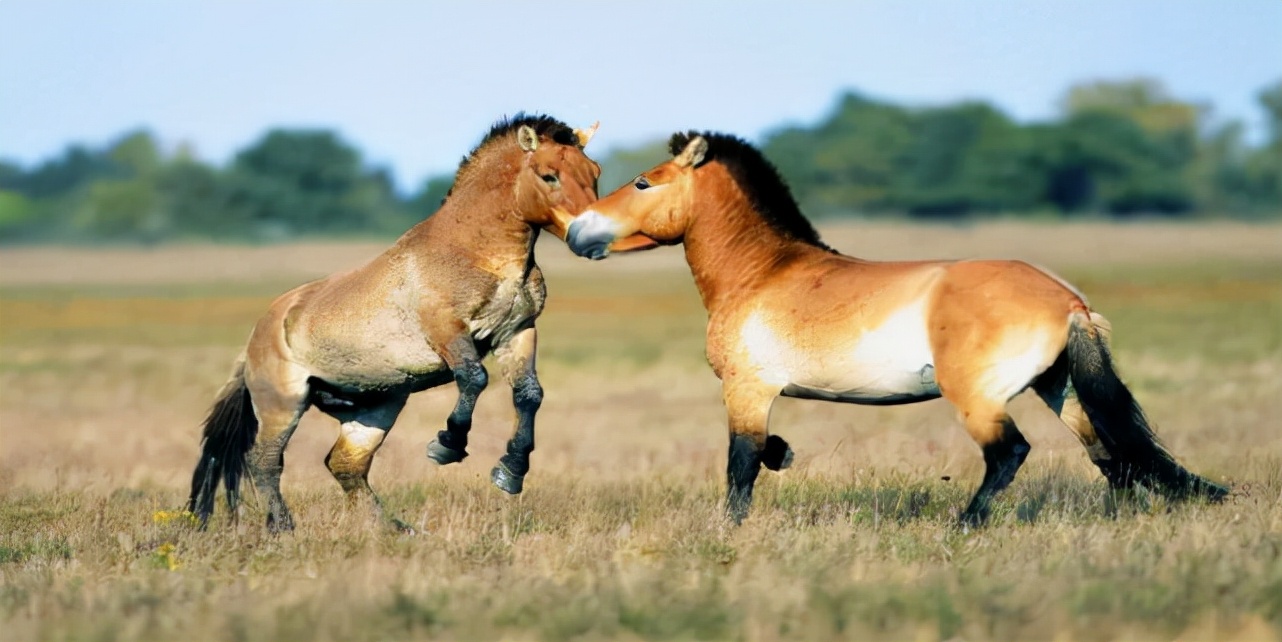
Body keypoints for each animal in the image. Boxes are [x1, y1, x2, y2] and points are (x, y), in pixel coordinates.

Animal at [187, 114, 606, 532]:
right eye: (549, 175)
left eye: (595, 173)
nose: (594, 237)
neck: (473, 253)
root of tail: (258, 335)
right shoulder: (448, 332)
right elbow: (474, 379)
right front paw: (447, 445)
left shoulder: (517, 332)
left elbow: (528, 395)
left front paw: (510, 471)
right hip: (282, 406)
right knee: (265, 462)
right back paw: (283, 529)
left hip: (374, 410)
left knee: (345, 465)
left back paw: (395, 529)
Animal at [564, 131, 1229, 525]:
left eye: (644, 181)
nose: (577, 230)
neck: (762, 273)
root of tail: (1068, 302)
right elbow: (760, 456)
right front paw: (785, 455)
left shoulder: (746, 391)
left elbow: (742, 464)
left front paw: (731, 528)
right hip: (1058, 387)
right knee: (1110, 453)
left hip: (979, 399)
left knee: (1012, 452)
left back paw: (966, 526)